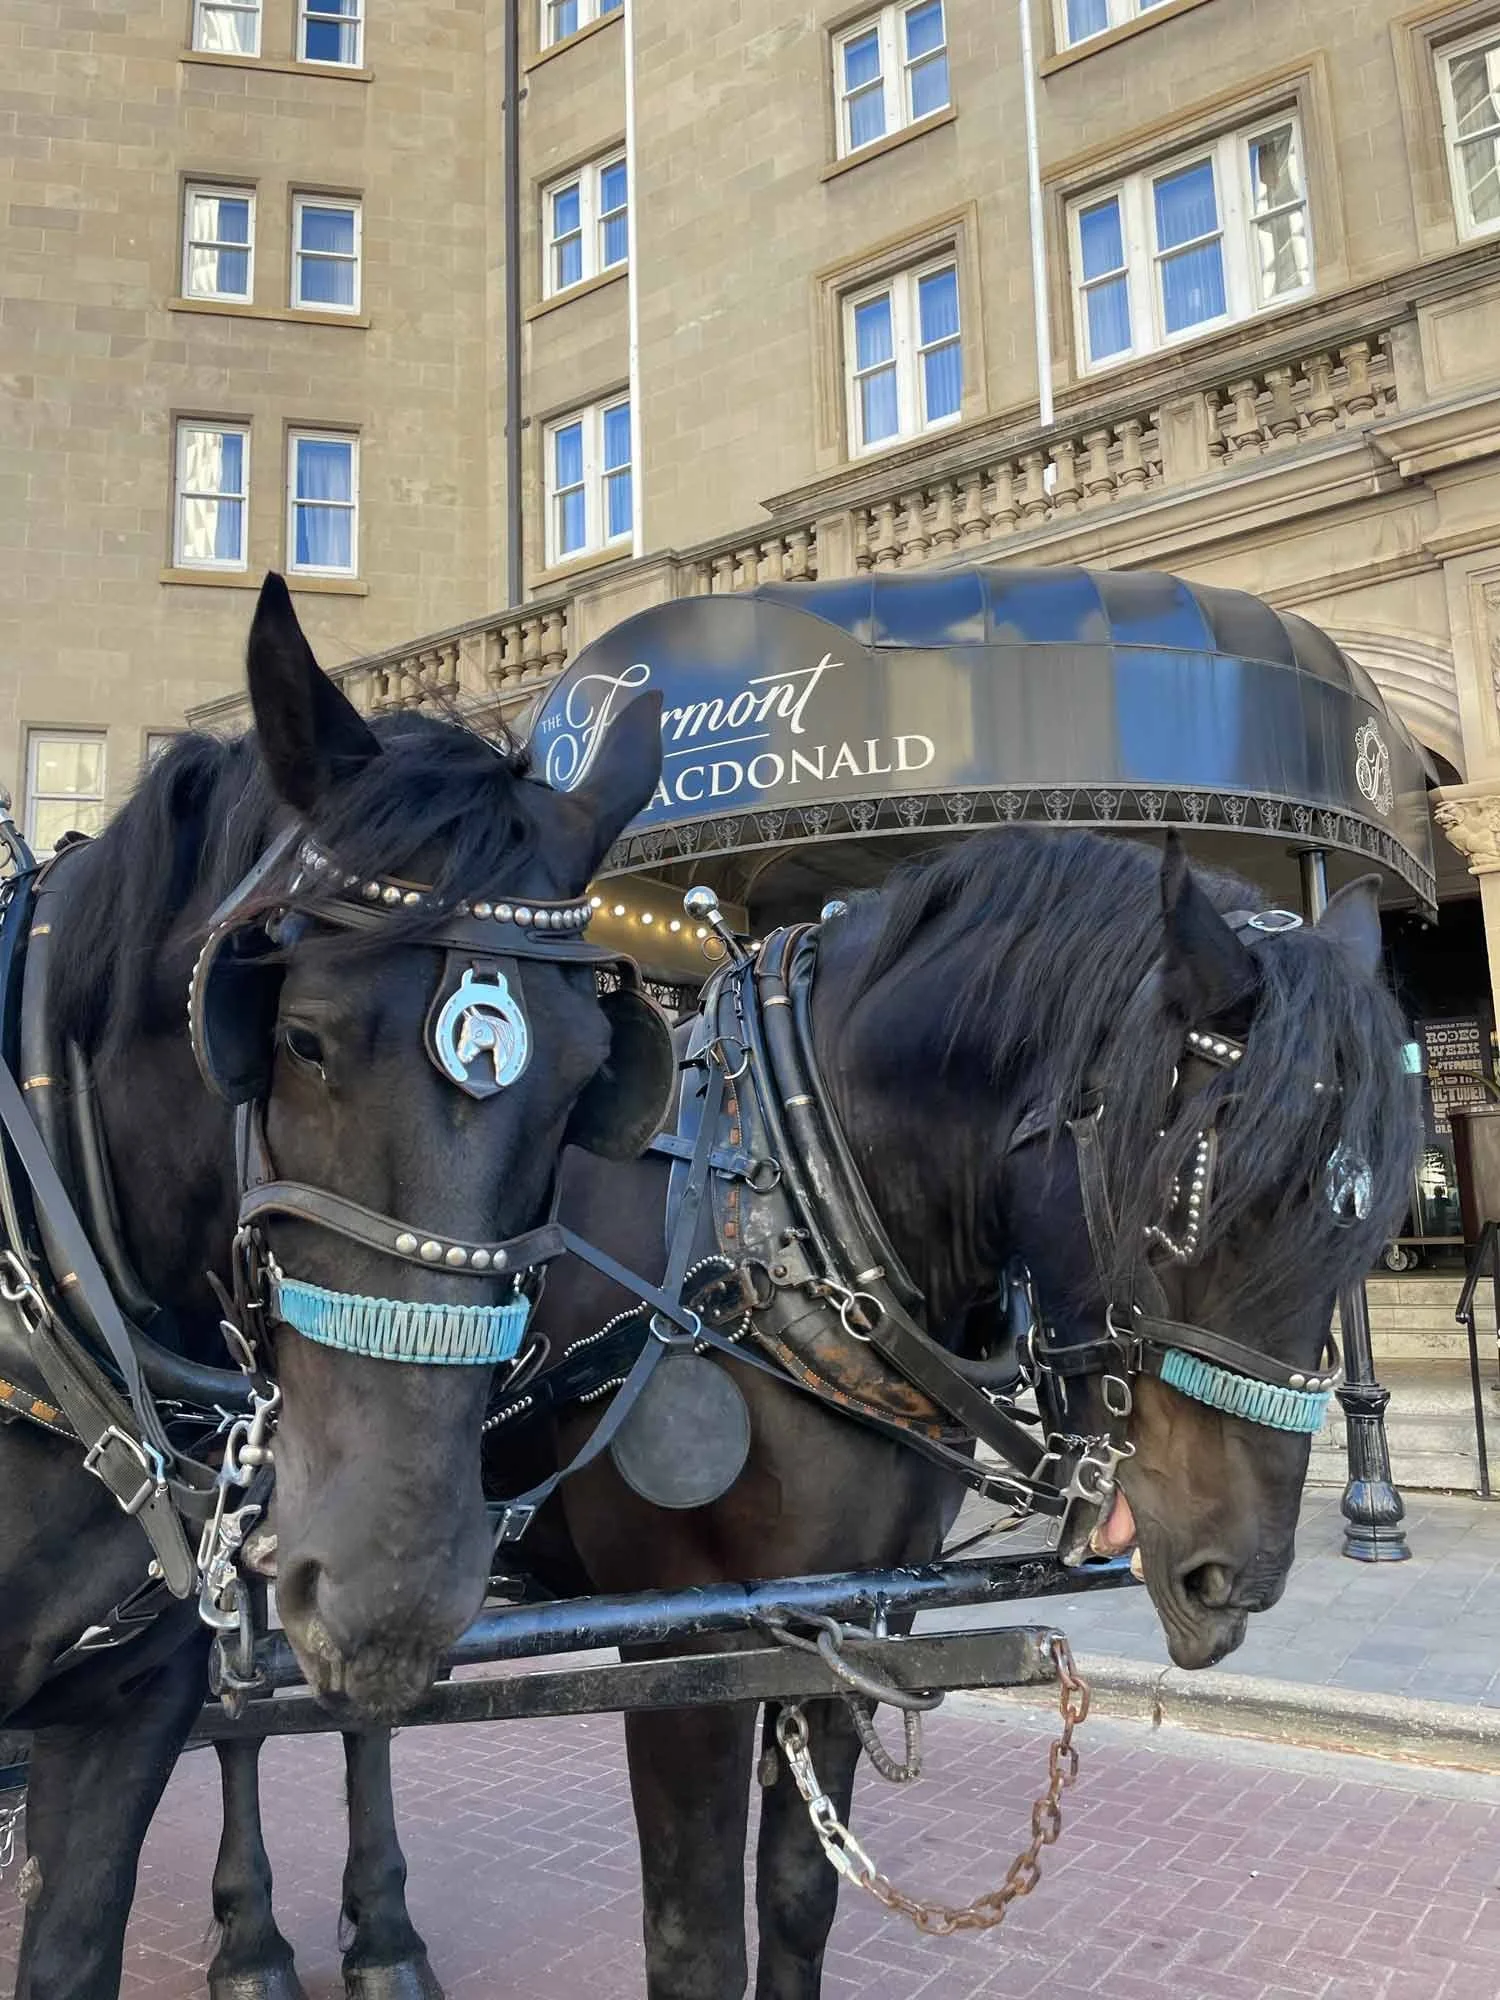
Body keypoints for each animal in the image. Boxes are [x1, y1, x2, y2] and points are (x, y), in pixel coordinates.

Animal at [206, 822, 1417, 2000]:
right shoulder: (684, 1639)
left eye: (1367, 1226)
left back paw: (383, 1938)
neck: (779, 1221)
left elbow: (799, 1904)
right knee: (236, 1713)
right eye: (1186, 1201)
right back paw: (253, 1945)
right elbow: (696, 1942)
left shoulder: (852, 1619)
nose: (1240, 1574)